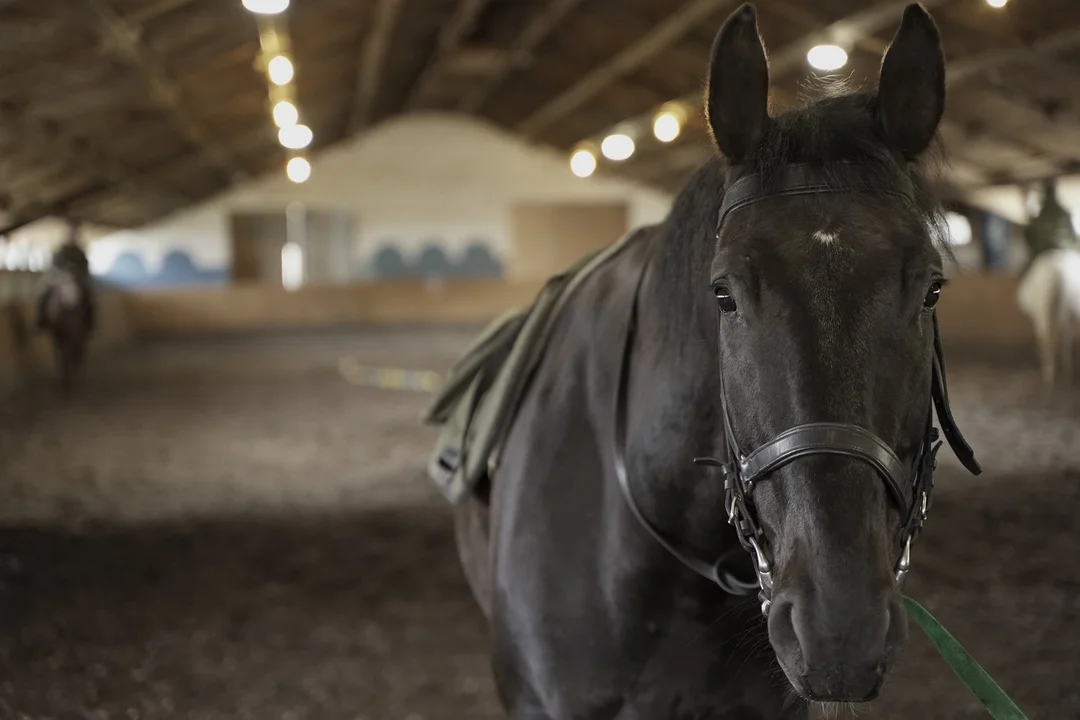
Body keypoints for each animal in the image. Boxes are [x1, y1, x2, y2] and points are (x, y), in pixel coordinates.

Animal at [1015, 248, 1080, 386]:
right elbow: (1066, 338)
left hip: (1045, 315)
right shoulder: (1067, 317)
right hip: (1054, 314)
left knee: (1046, 339)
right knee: (1051, 338)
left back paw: (1049, 372)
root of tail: (1055, 270)